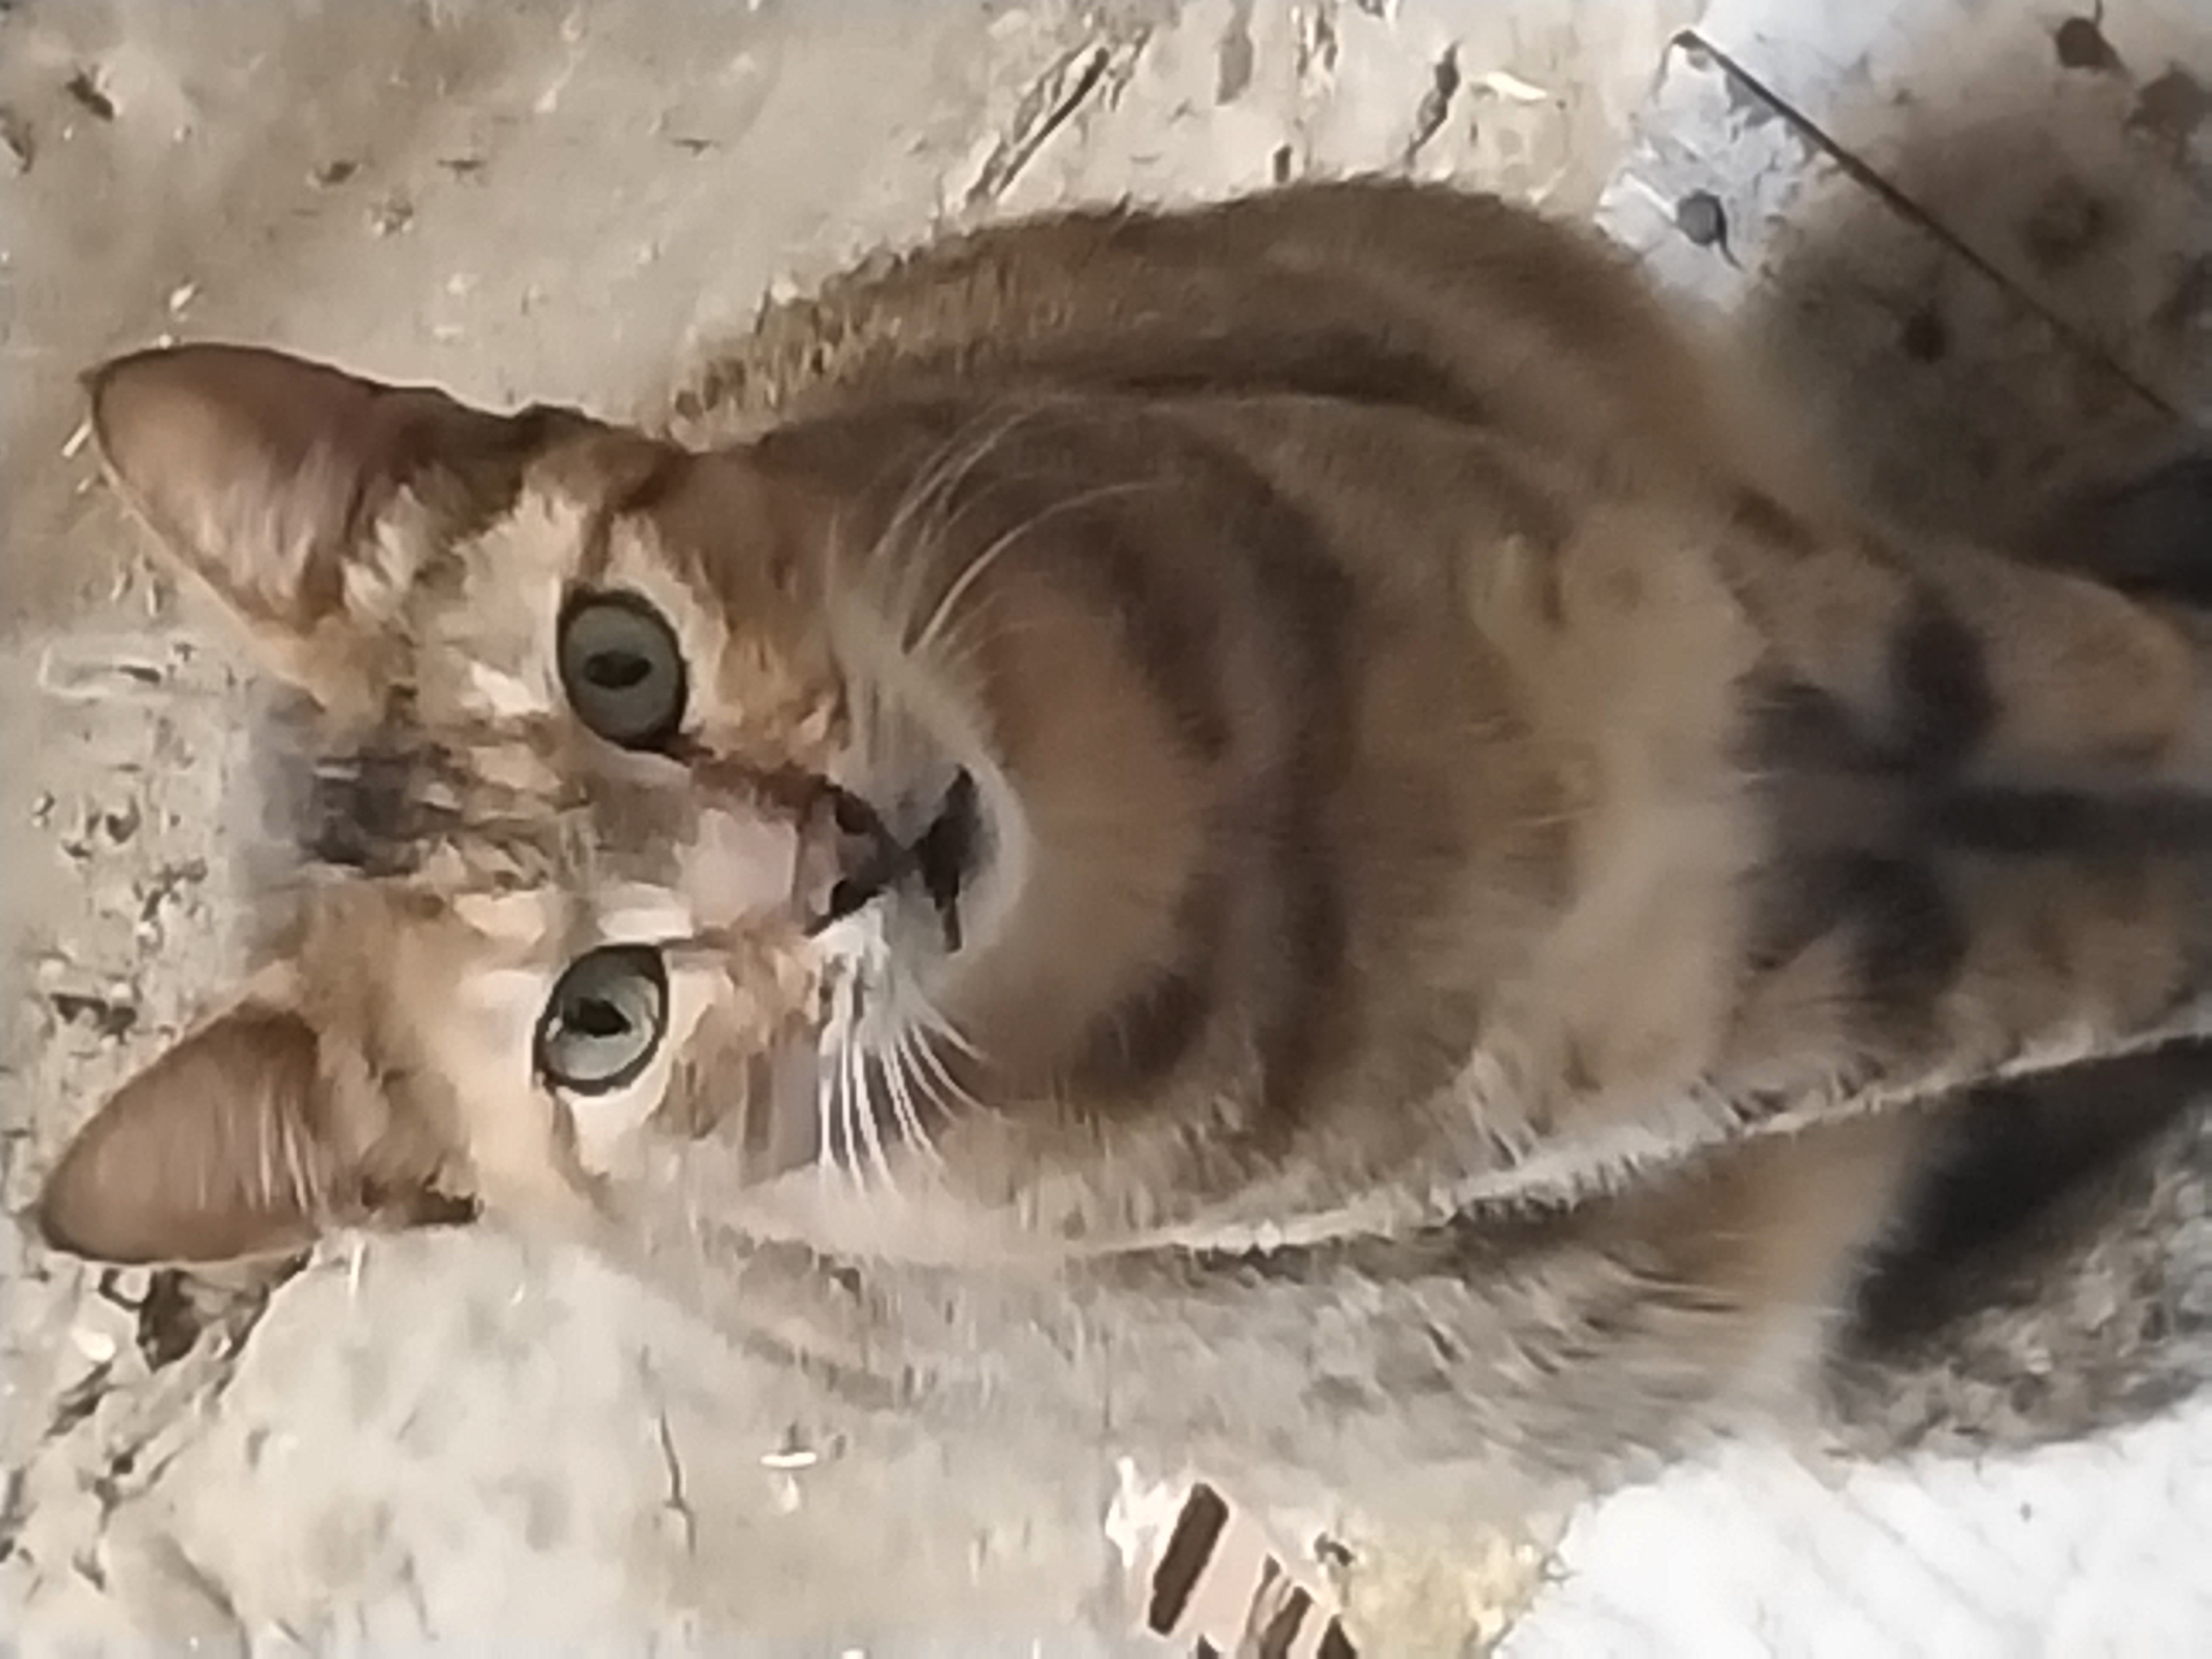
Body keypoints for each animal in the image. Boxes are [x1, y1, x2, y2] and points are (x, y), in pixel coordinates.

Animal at [28, 178, 2212, 1645]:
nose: (841, 857)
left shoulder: (1772, 619)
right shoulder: (1733, 1030)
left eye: (618, 664)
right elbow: (2094, 947)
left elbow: (2109, 671)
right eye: (599, 1020)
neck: (1266, 819)